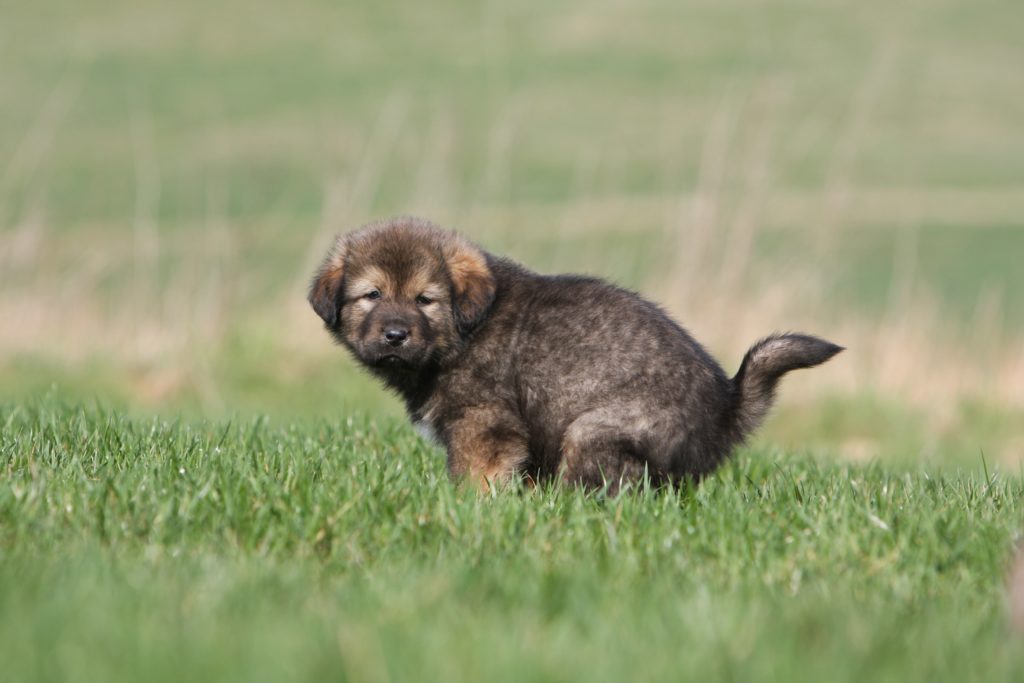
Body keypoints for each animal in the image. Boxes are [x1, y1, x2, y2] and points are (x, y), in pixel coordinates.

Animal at [309, 218, 839, 491]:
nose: (395, 334)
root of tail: (726, 405)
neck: (463, 332)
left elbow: (476, 475)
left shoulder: (484, 424)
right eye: (372, 295)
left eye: (425, 300)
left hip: (593, 432)